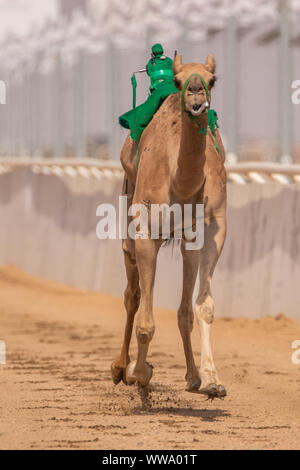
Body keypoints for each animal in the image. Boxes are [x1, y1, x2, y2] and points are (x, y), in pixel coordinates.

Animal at [111, 55, 226, 400]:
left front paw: (212, 380)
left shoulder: (213, 230)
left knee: (184, 308)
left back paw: (192, 376)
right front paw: (139, 374)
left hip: (188, 244)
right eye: (177, 80)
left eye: (212, 79)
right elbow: (145, 321)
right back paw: (121, 369)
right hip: (128, 223)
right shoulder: (146, 232)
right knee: (132, 295)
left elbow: (203, 306)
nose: (196, 94)